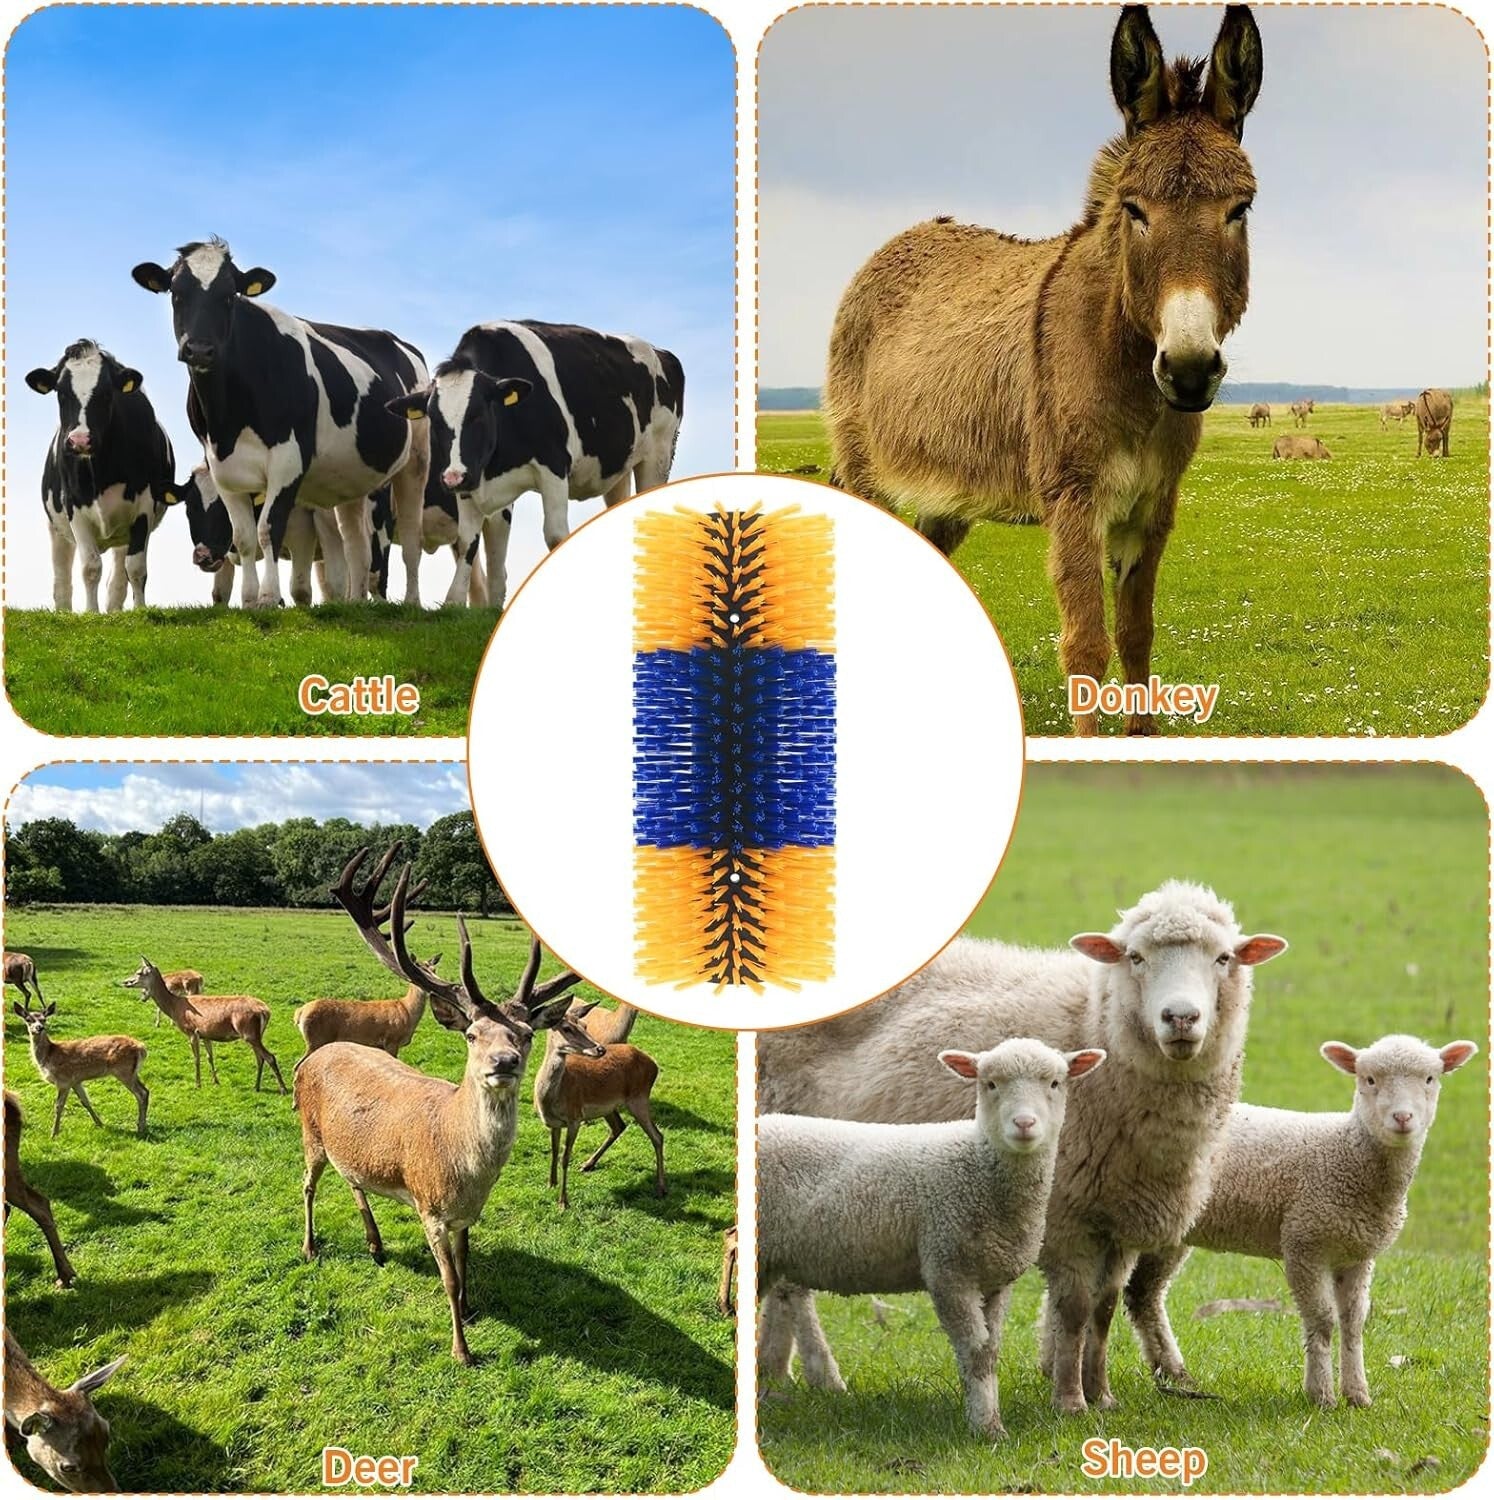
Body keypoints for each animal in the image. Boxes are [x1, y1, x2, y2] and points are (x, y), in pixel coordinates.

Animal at [26, 341, 178, 612]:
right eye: (61, 393)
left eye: (107, 394)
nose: (79, 440)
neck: (101, 472)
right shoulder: (74, 507)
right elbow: (90, 567)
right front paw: (91, 613)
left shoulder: (144, 506)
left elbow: (136, 568)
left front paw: (140, 611)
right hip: (56, 527)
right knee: (61, 577)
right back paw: (63, 611)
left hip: (124, 531)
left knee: (119, 575)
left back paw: (115, 611)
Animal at [130, 238, 431, 607]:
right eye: (176, 293)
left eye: (229, 295)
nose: (199, 349)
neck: (228, 419)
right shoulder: (221, 468)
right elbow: (244, 537)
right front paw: (248, 600)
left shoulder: (289, 460)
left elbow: (268, 529)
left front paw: (268, 597)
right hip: (353, 477)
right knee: (356, 544)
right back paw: (355, 603)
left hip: (415, 461)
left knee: (411, 538)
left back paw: (412, 601)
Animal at [388, 321, 684, 609]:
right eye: (434, 420)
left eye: (478, 415)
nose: (452, 479)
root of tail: (661, 352)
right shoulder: (470, 478)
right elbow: (469, 541)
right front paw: (461, 602)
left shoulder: (553, 466)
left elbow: (555, 535)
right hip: (617, 469)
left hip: (658, 456)